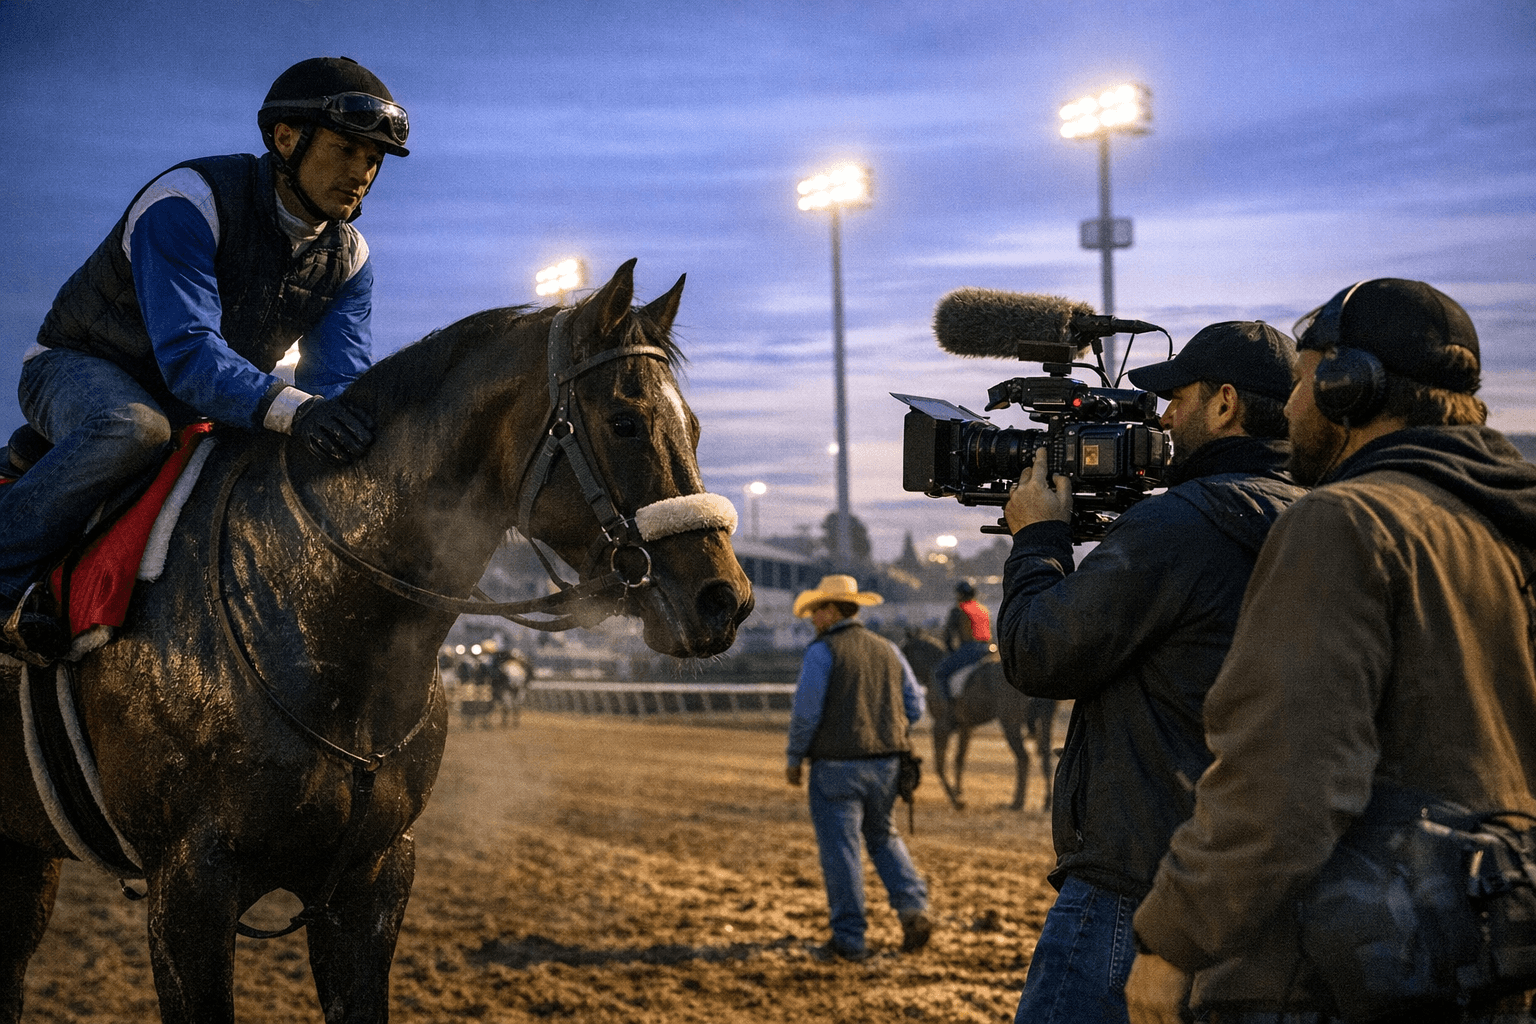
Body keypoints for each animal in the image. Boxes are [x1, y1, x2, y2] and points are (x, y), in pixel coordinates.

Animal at [0, 260, 753, 1024]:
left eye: (694, 427)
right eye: (624, 422)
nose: (726, 599)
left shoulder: (373, 876)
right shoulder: (188, 884)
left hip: (25, 853)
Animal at [901, 629, 1055, 812]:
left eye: (906, 650)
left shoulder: (941, 726)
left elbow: (939, 764)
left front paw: (956, 800)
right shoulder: (965, 727)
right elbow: (959, 758)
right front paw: (959, 793)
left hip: (1010, 724)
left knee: (1023, 758)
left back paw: (1017, 802)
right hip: (1044, 721)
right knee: (1046, 754)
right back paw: (1047, 802)